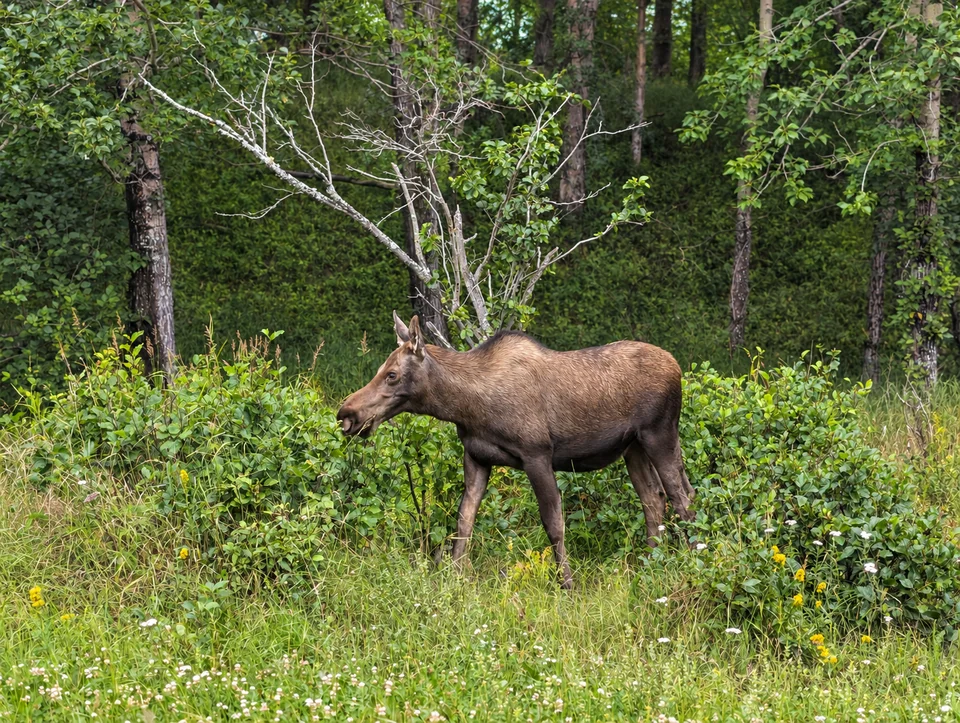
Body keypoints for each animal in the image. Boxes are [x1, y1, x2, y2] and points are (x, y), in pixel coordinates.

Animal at [337, 312, 695, 588]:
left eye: (392, 374)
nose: (346, 413)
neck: (465, 408)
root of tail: (678, 368)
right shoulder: (476, 457)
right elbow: (464, 521)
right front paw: (454, 578)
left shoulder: (537, 454)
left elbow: (554, 524)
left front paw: (567, 584)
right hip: (632, 446)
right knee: (655, 498)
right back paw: (650, 561)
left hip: (658, 433)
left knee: (682, 498)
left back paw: (690, 558)